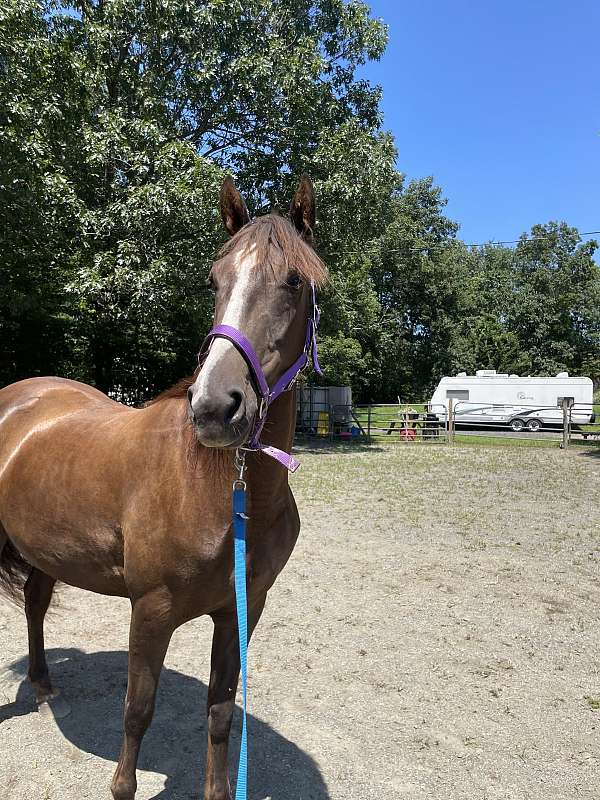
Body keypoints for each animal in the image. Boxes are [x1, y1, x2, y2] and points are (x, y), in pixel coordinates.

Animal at [0, 175, 327, 800]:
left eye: (294, 282)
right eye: (214, 280)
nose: (215, 407)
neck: (220, 496)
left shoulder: (240, 610)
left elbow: (221, 713)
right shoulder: (150, 612)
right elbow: (137, 712)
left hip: (47, 550)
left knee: (35, 604)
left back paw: (45, 687)